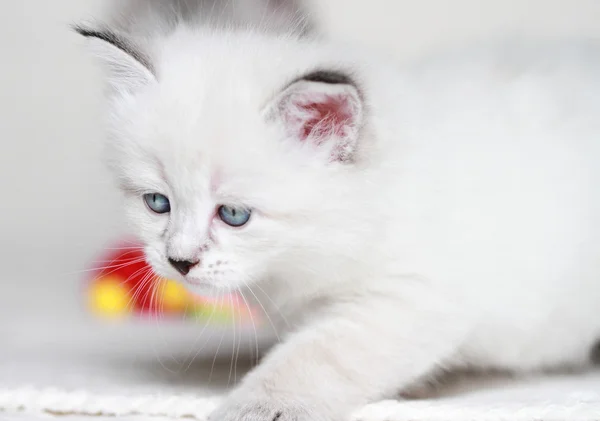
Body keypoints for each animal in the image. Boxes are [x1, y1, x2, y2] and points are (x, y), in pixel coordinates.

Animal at [74, 14, 600, 418]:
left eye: (234, 214)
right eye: (157, 203)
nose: (180, 262)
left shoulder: (410, 299)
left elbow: (317, 356)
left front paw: (258, 406)